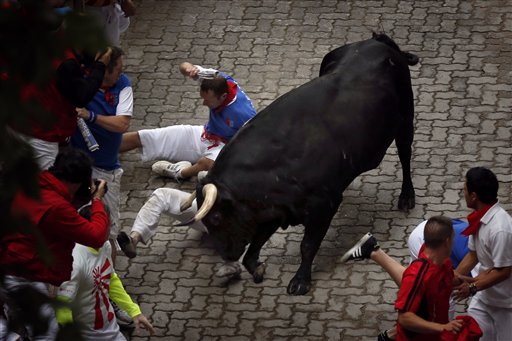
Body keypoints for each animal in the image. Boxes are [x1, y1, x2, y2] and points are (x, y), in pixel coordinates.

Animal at [187, 34, 416, 294]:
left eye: (215, 217)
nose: (226, 255)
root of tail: (377, 40)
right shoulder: (277, 208)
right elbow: (255, 245)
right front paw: (257, 268)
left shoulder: (323, 204)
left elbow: (307, 245)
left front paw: (301, 280)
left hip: (406, 119)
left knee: (405, 154)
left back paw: (407, 196)